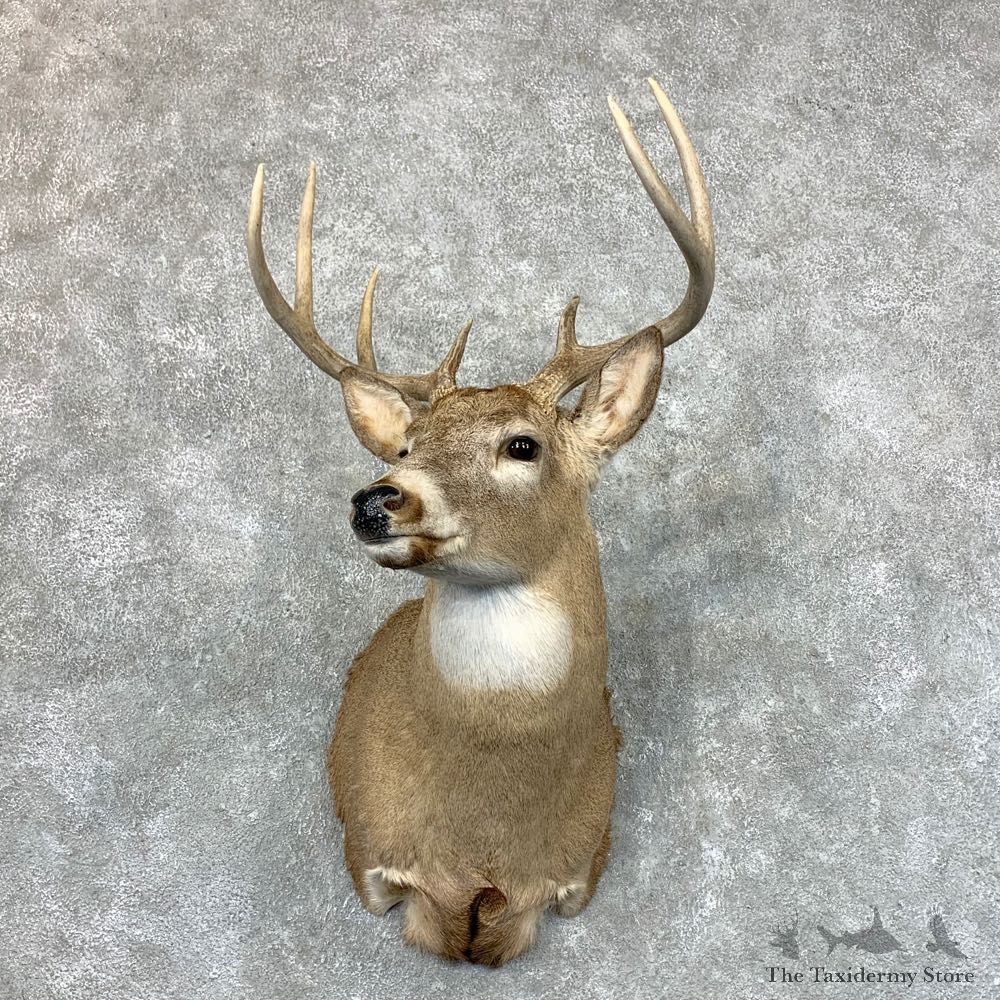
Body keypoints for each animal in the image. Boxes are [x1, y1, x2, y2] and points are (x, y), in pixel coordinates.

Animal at [245, 77, 714, 966]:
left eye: (522, 444)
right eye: (408, 443)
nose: (378, 498)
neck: (482, 837)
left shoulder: (577, 871)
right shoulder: (371, 855)